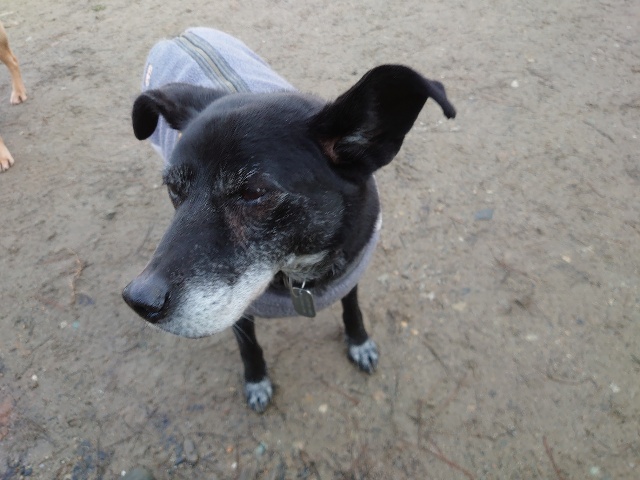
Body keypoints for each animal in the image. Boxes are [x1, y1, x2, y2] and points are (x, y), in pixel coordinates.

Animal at [123, 28, 455, 412]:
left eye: (253, 192)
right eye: (174, 188)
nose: (138, 300)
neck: (300, 271)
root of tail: (181, 34)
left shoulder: (350, 272)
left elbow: (352, 309)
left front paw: (358, 342)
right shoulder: (241, 309)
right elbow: (249, 347)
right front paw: (257, 381)